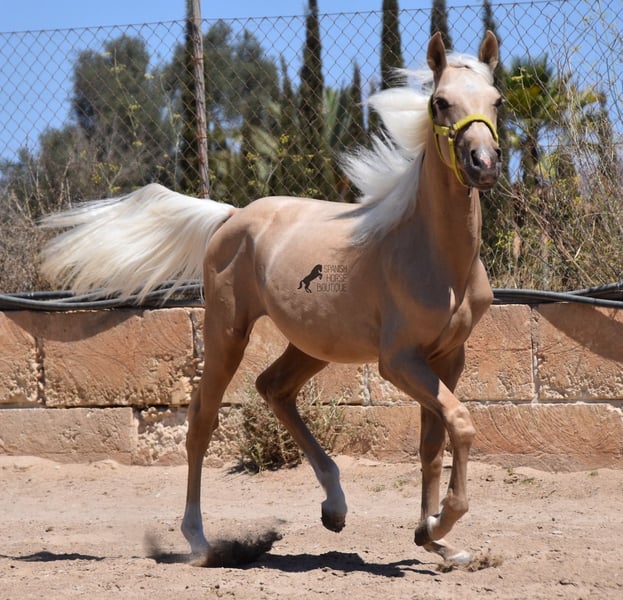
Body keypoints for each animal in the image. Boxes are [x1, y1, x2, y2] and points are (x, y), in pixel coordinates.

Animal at [40, 31, 502, 566]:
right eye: (439, 102)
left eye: (497, 100)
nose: (483, 164)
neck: (434, 254)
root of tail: (230, 214)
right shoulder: (399, 361)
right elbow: (462, 423)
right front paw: (440, 523)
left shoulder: (447, 357)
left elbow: (434, 443)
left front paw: (434, 539)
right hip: (227, 332)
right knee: (202, 421)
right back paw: (199, 541)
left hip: (313, 344)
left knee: (274, 388)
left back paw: (335, 508)